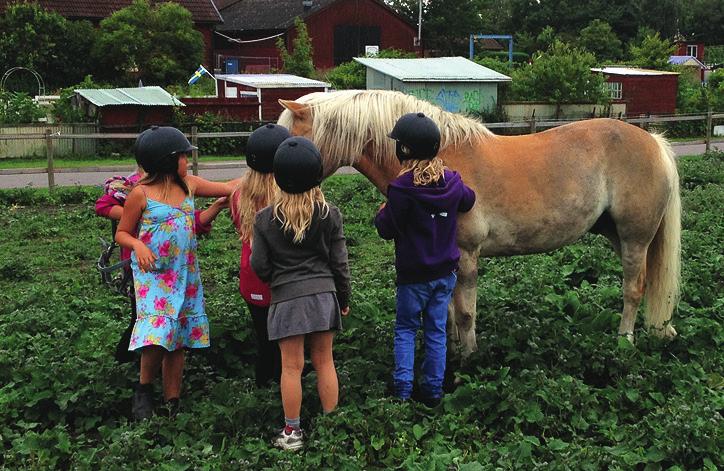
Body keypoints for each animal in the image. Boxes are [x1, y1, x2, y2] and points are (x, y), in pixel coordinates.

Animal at [278, 89, 680, 358]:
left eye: (290, 141)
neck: (437, 163)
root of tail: (652, 141)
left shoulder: (467, 256)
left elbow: (466, 312)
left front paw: (469, 358)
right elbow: (450, 312)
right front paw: (453, 351)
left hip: (634, 238)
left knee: (633, 289)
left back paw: (624, 342)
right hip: (616, 235)